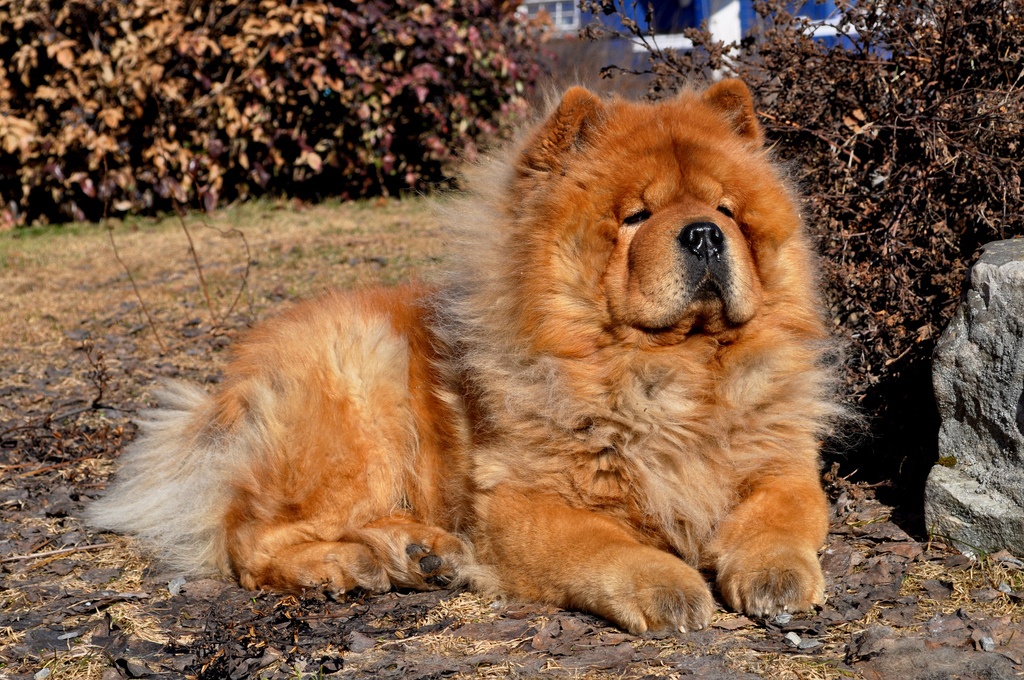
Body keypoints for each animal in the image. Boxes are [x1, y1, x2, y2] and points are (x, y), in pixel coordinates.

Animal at [92, 79, 835, 630]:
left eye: (727, 209)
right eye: (636, 217)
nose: (705, 234)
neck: (670, 372)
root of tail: (222, 392)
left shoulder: (782, 461)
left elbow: (785, 512)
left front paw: (775, 576)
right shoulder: (521, 505)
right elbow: (607, 545)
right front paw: (670, 586)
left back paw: (421, 553)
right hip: (363, 394)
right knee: (246, 536)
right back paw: (341, 569)